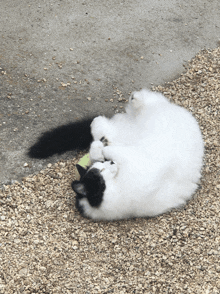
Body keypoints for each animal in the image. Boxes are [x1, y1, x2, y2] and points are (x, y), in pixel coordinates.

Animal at [72, 89, 205, 220]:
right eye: (102, 170)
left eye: (102, 166)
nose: (111, 162)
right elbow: (109, 150)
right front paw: (102, 149)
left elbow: (100, 151)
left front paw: (99, 149)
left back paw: (134, 98)